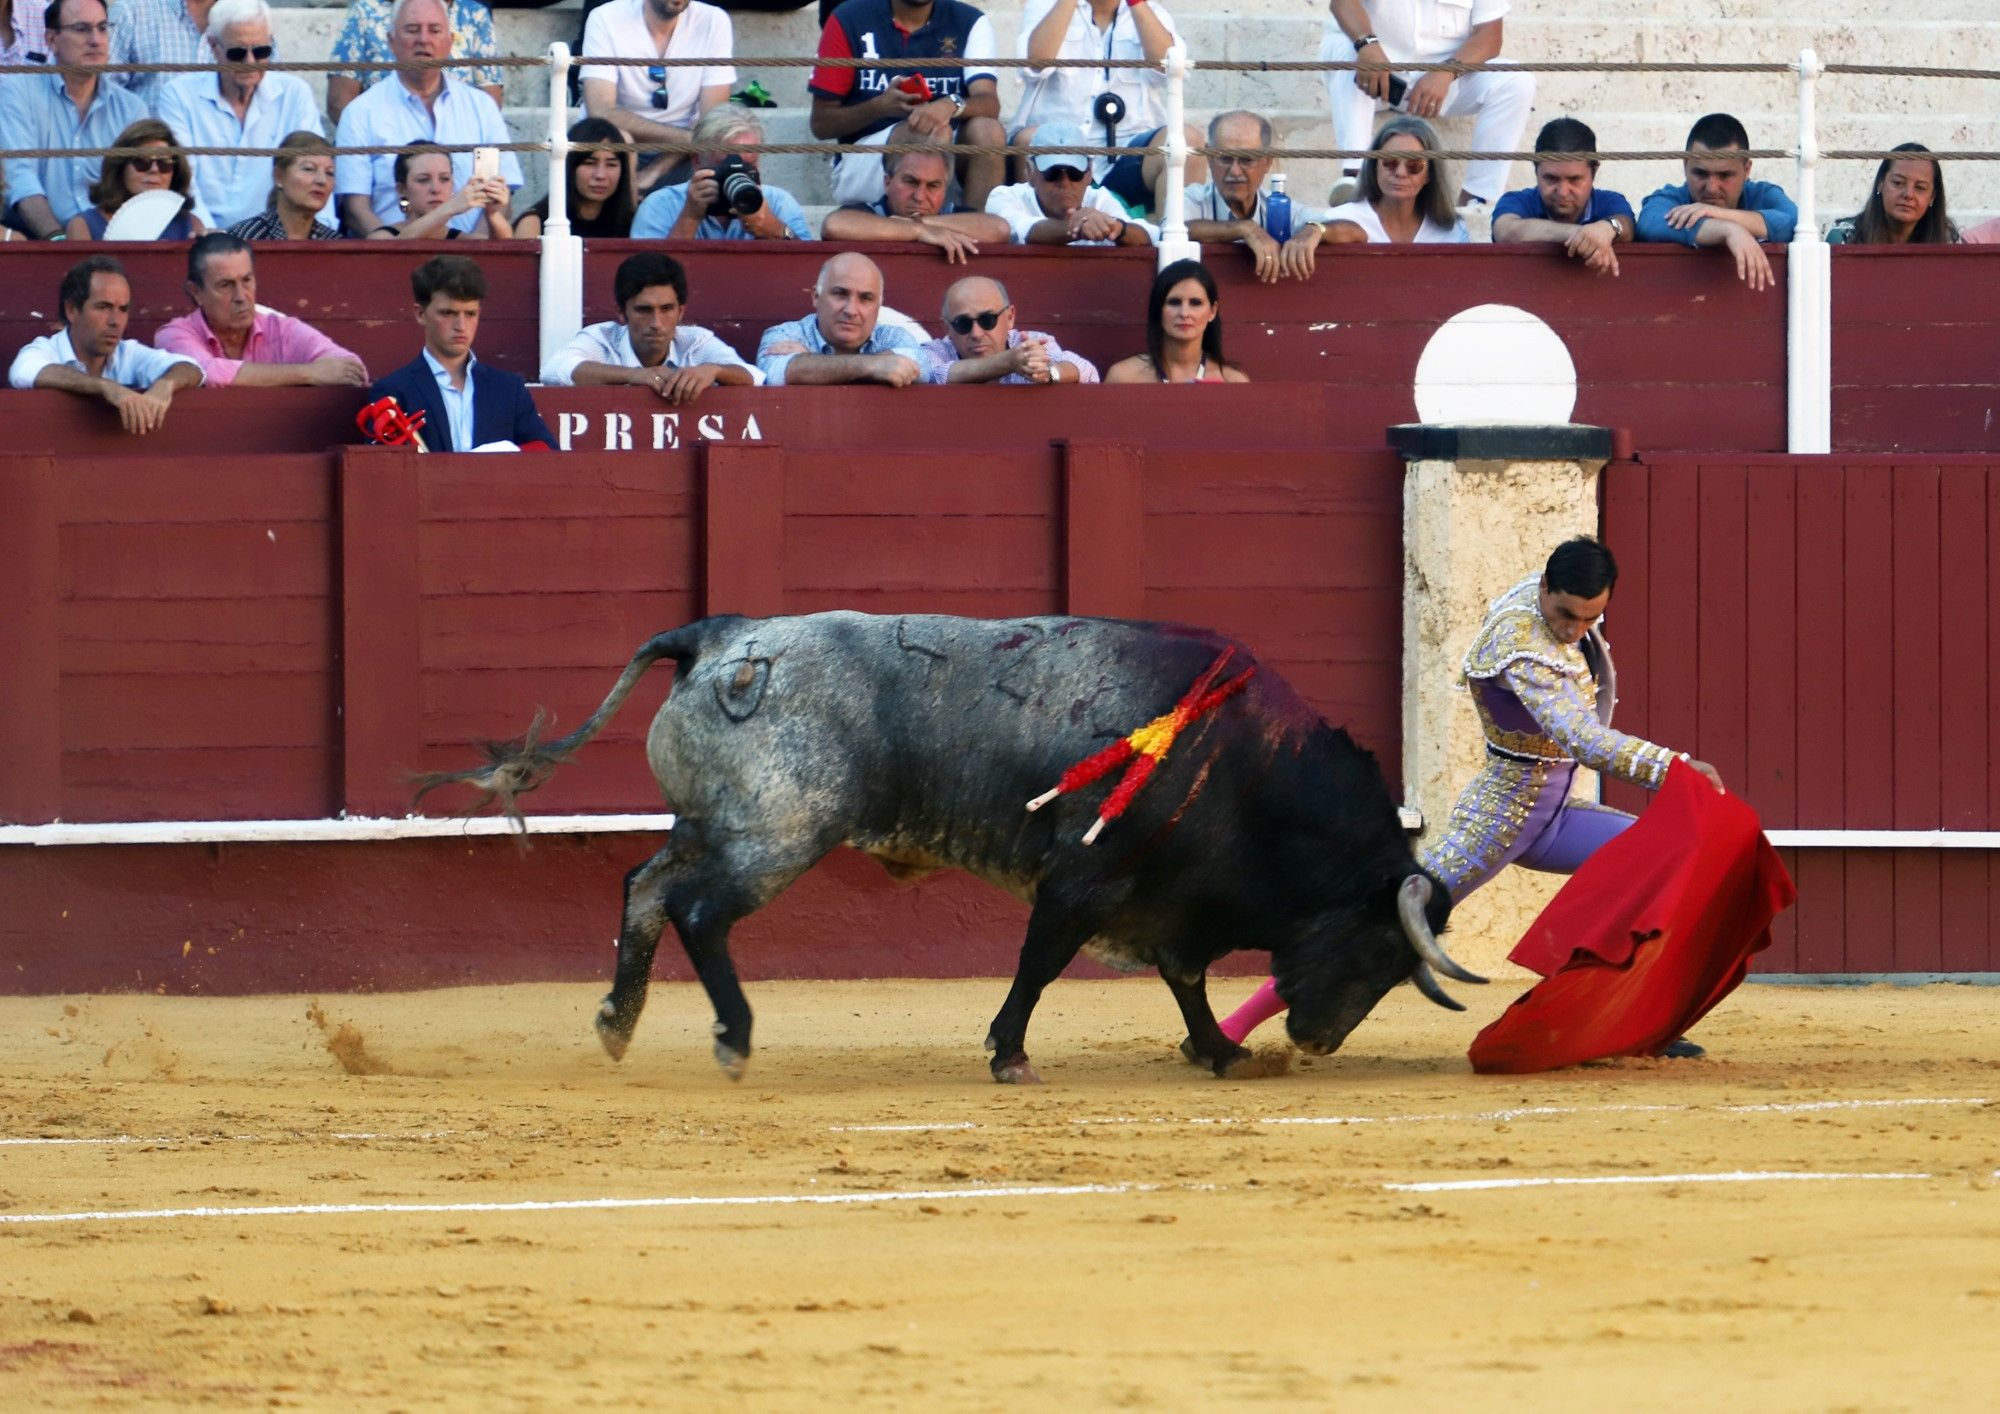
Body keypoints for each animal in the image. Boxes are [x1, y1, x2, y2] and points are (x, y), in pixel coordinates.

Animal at [418, 608, 1488, 1088]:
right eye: (1374, 950)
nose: (1317, 1040)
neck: (1246, 766)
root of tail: (723, 639)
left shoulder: (1167, 901)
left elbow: (1183, 978)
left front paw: (1220, 1051)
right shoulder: (1083, 879)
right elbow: (1042, 964)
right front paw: (1009, 1055)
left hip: (712, 825)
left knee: (646, 886)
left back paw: (617, 1020)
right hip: (780, 834)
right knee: (699, 911)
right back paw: (733, 1037)